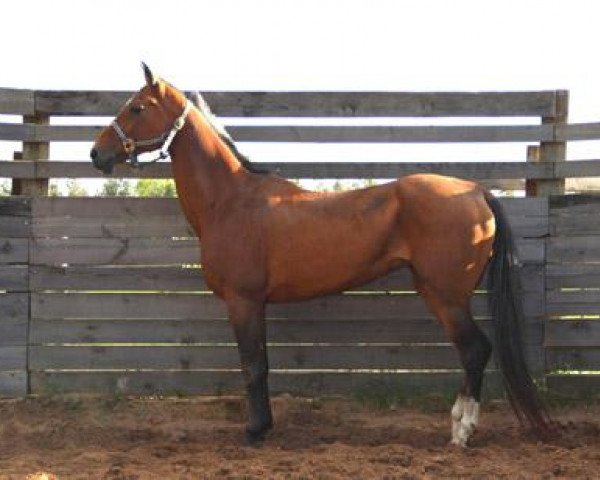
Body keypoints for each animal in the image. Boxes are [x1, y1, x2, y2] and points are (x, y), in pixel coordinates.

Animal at [90, 62, 552, 446]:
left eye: (137, 107)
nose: (97, 153)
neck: (232, 200)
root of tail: (474, 190)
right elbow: (261, 364)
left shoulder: (244, 301)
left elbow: (253, 366)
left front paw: (255, 431)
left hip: (445, 295)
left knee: (474, 350)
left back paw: (460, 431)